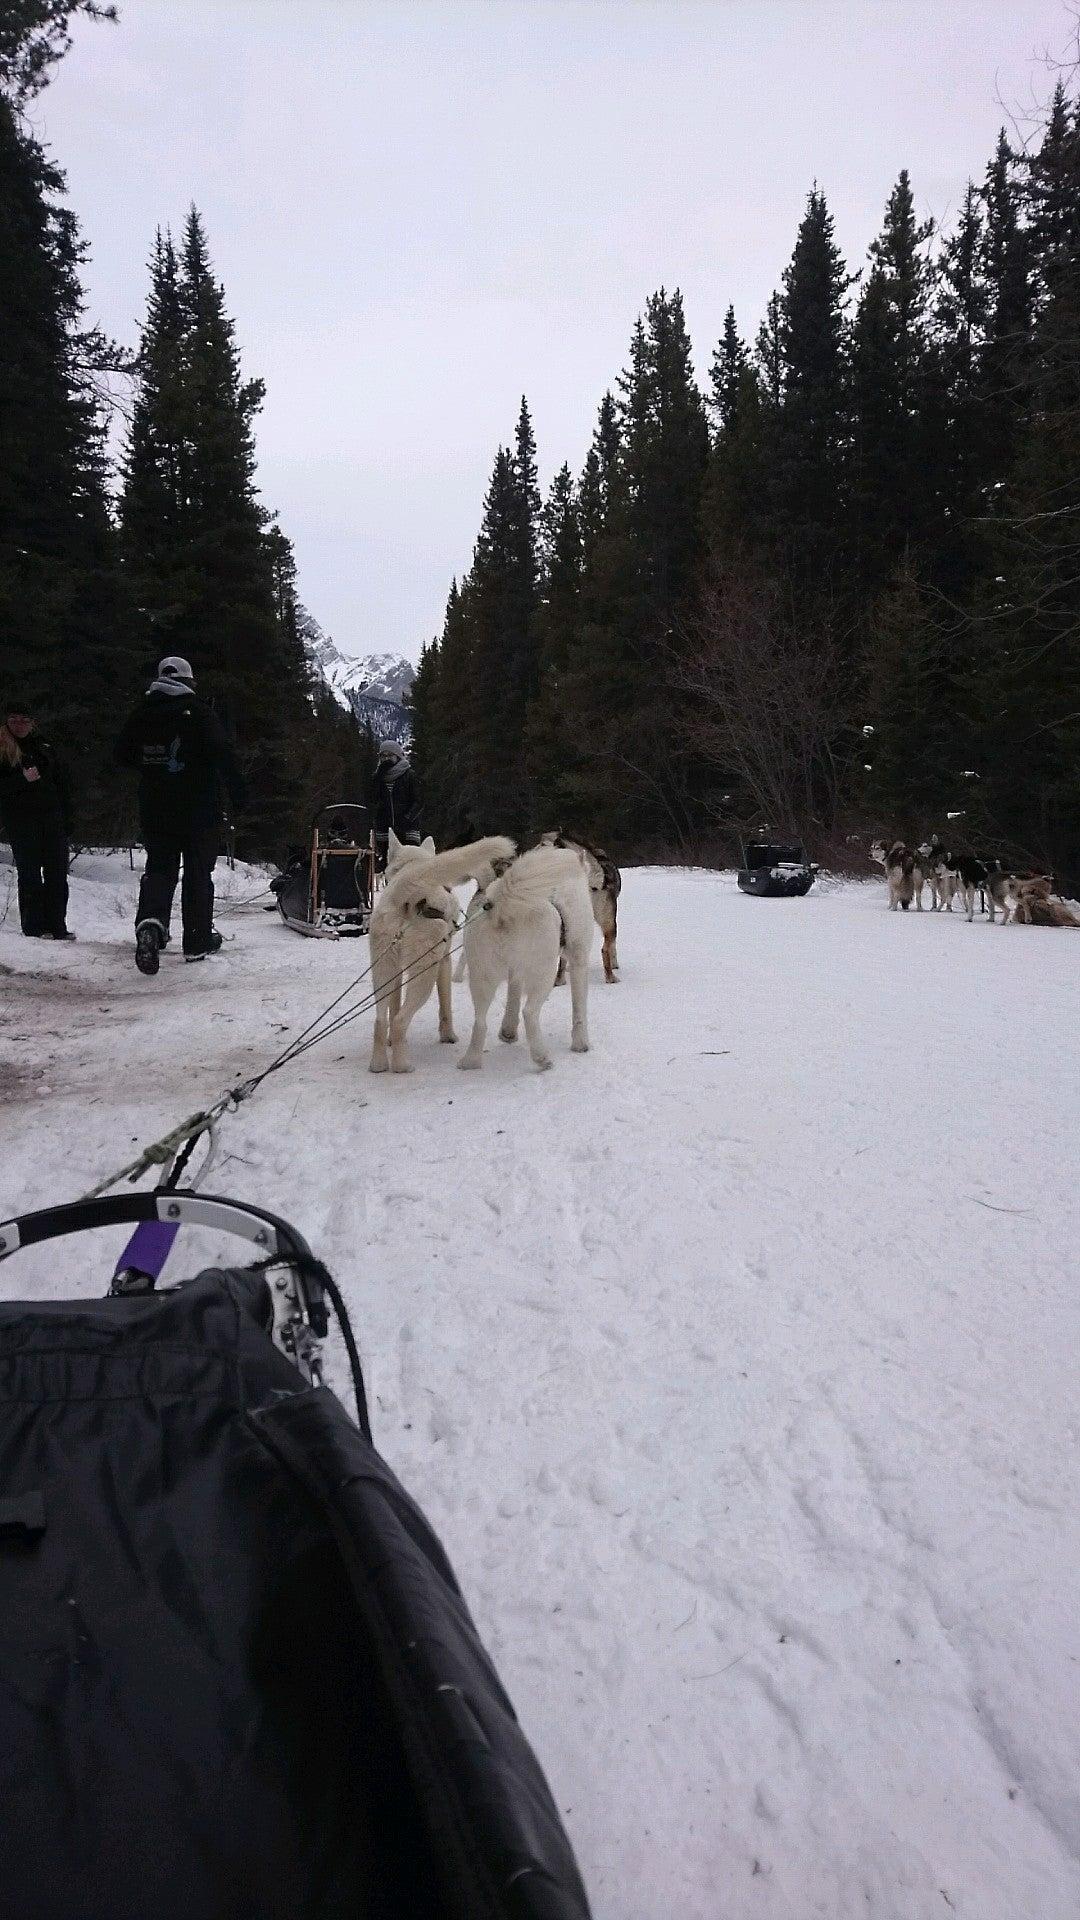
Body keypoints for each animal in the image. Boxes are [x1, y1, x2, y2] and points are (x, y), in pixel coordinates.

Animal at [367, 821, 515, 1067]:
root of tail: (403, 893)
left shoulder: (397, 974)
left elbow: (393, 1007)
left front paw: (389, 1043)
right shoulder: (444, 963)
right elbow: (445, 1006)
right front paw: (449, 1036)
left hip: (382, 972)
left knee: (381, 1019)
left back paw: (378, 1065)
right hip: (424, 974)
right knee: (399, 1021)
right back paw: (402, 1066)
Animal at [453, 848, 588, 1075]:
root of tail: (502, 906)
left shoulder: (514, 974)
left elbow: (512, 999)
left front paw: (508, 1031)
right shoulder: (579, 960)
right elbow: (579, 1011)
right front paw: (581, 1044)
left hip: (482, 977)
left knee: (480, 1022)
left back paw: (470, 1061)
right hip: (544, 974)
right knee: (529, 1013)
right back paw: (542, 1058)